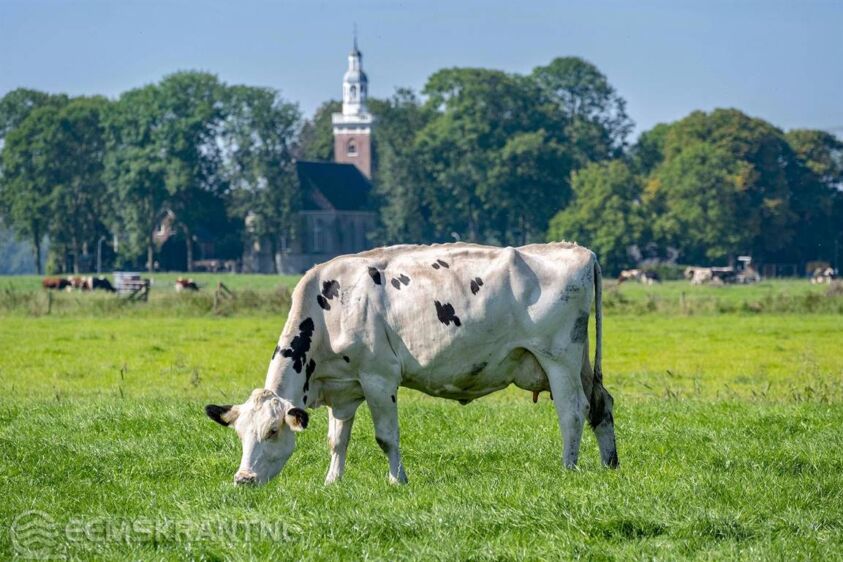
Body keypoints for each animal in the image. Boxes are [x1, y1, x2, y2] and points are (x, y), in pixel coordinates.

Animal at [205, 242, 618, 486]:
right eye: (240, 434)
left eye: (273, 431)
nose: (243, 479)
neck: (330, 308)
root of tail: (578, 251)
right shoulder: (344, 388)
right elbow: (337, 439)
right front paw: (332, 482)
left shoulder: (379, 378)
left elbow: (386, 437)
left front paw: (396, 481)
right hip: (580, 362)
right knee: (602, 405)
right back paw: (609, 464)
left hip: (559, 358)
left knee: (572, 411)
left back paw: (568, 469)